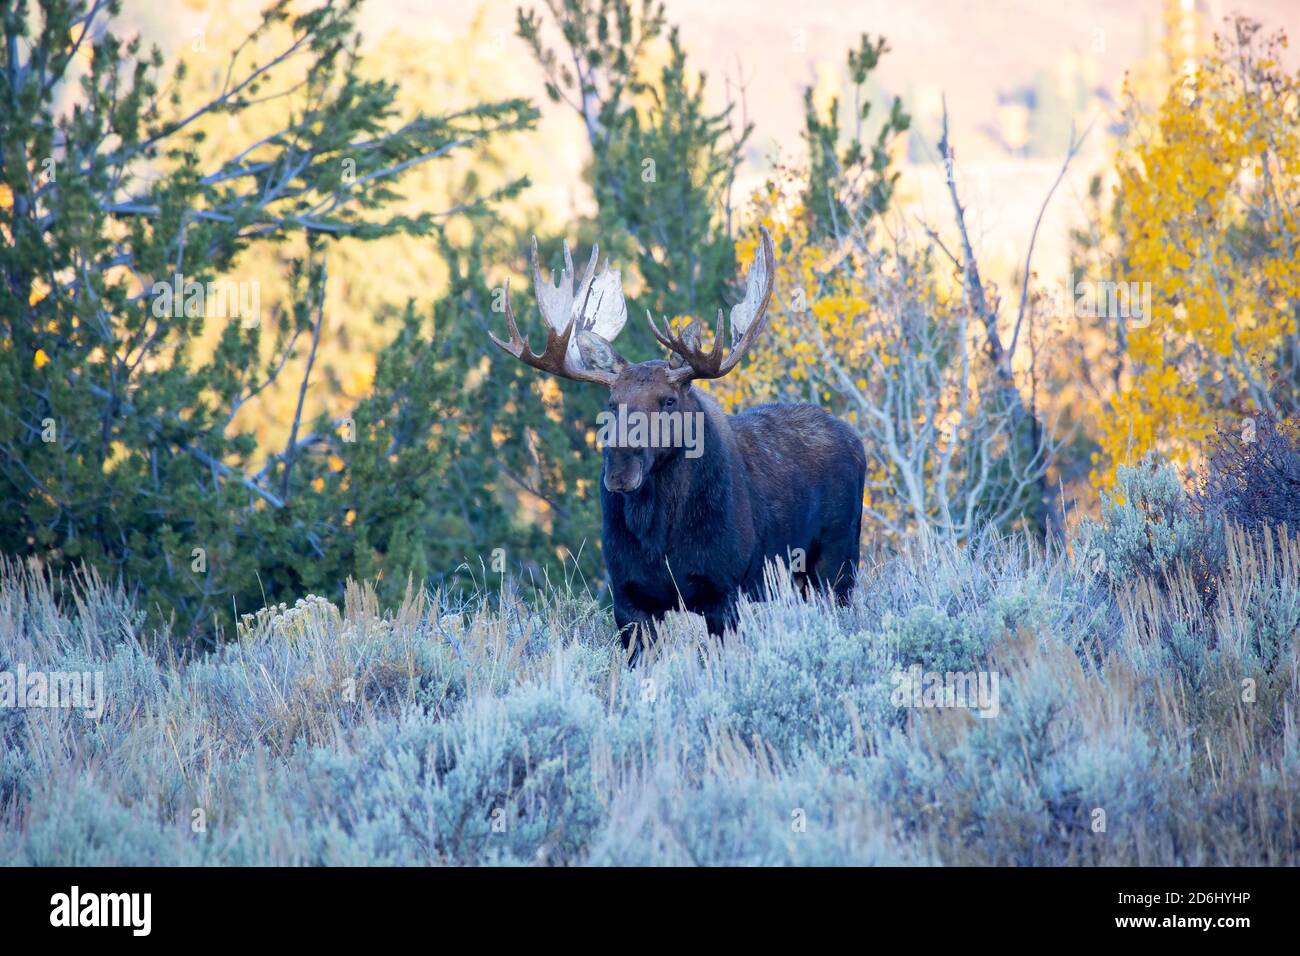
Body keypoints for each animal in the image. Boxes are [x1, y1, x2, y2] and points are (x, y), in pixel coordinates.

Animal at [491, 226, 868, 658]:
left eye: (668, 400)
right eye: (611, 402)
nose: (620, 469)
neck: (661, 540)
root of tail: (855, 440)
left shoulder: (724, 591)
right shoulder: (628, 599)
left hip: (837, 564)